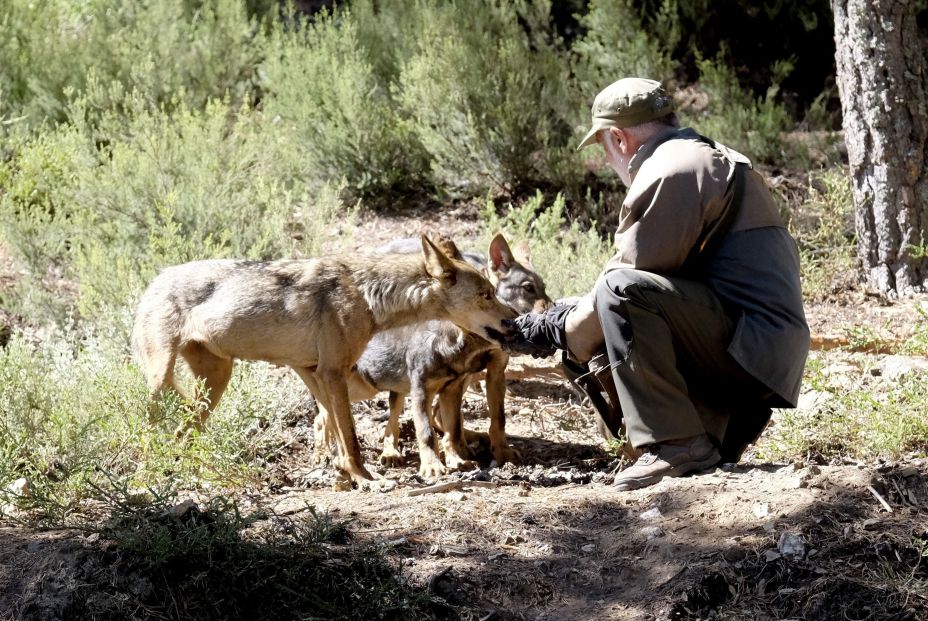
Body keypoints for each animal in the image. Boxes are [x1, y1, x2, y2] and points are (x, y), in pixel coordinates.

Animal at [134, 235, 520, 482]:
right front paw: (366, 480)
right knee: (149, 427)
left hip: (214, 385)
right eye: (486, 294)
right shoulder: (333, 373)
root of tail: (155, 279)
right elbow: (349, 436)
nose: (514, 318)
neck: (368, 296)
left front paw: (347, 476)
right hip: (161, 384)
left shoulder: (317, 373)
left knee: (184, 432)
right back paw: (147, 471)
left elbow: (336, 433)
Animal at [316, 232, 556, 474]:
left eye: (544, 287)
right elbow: (428, 432)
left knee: (393, 425)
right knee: (324, 415)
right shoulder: (424, 390)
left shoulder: (484, 376)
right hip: (362, 387)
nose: (553, 310)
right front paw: (434, 466)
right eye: (528, 288)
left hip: (395, 388)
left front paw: (490, 454)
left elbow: (487, 422)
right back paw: (328, 453)